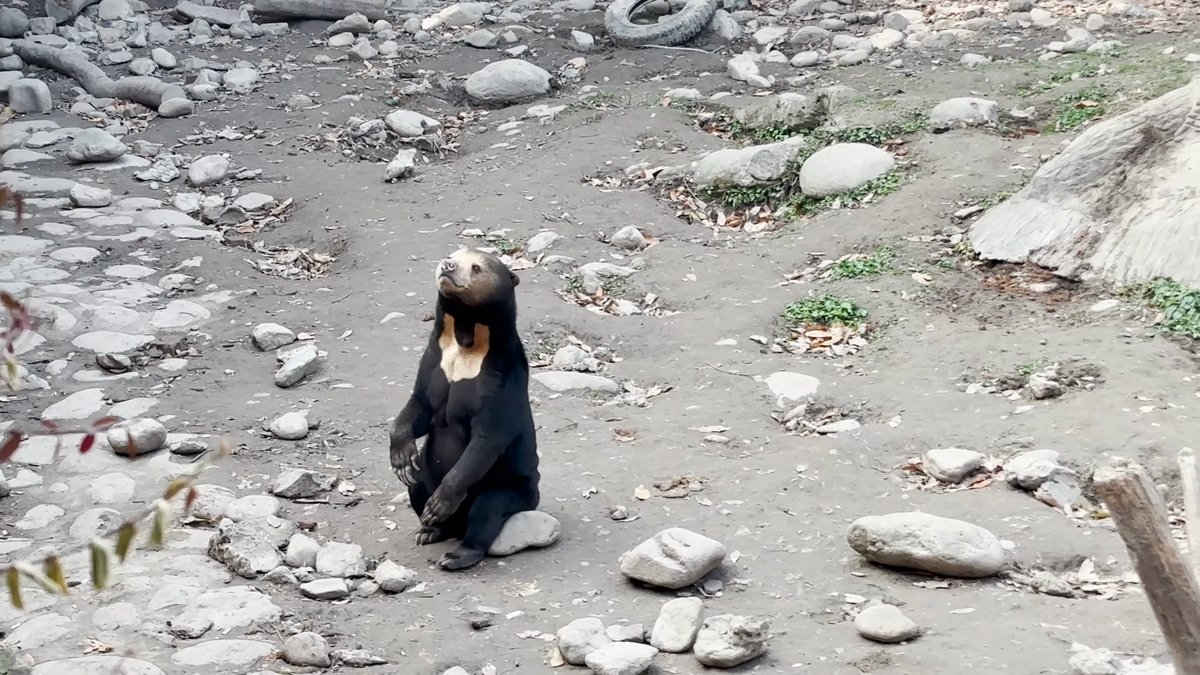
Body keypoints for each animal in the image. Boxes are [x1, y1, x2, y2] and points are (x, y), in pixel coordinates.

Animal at [389, 247, 541, 571]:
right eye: (452, 254)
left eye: (477, 267)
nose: (447, 266)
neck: (465, 339)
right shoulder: (434, 361)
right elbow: (419, 405)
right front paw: (402, 459)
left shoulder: (500, 378)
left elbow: (486, 440)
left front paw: (439, 504)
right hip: (426, 477)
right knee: (416, 489)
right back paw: (430, 530)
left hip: (514, 489)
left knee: (486, 510)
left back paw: (456, 554)